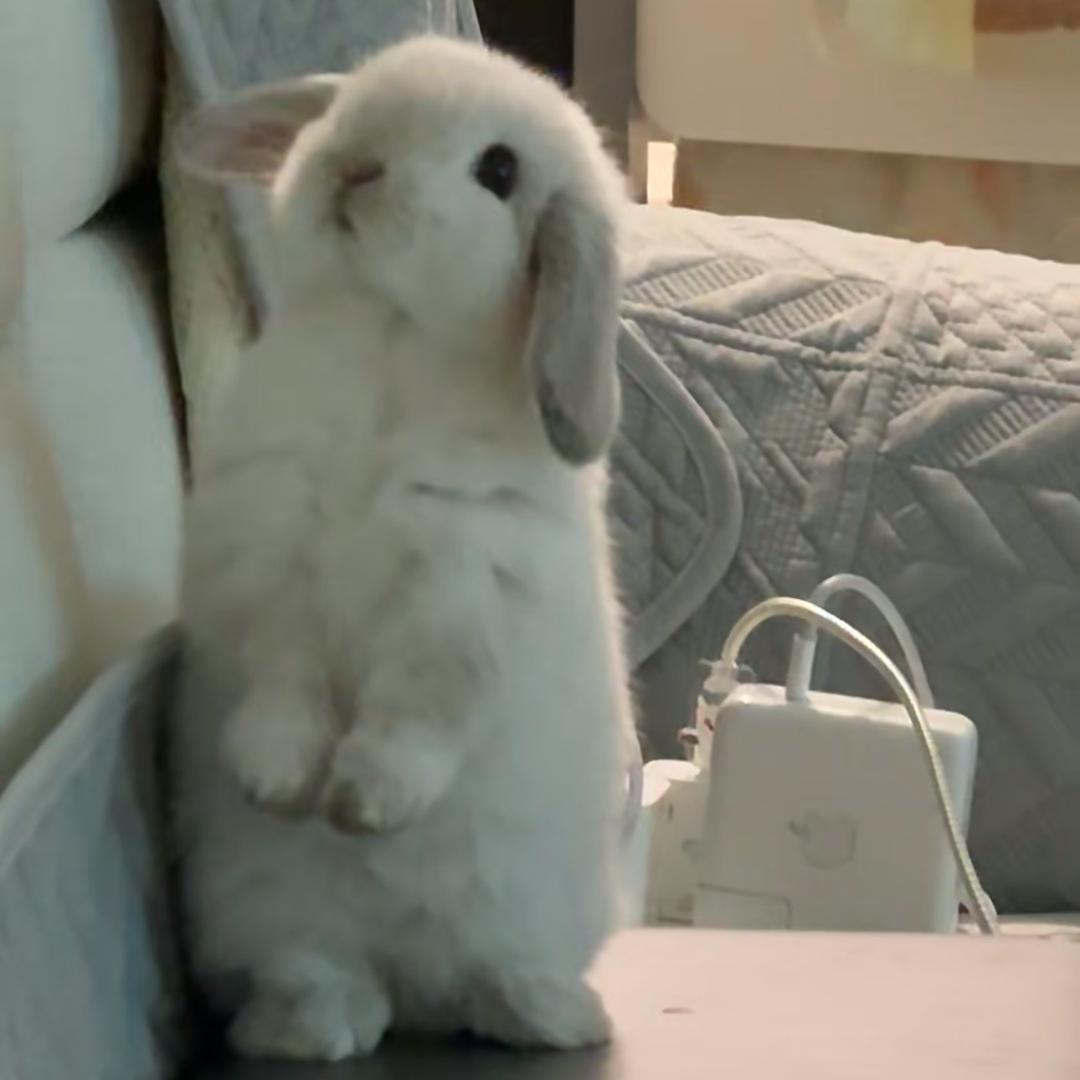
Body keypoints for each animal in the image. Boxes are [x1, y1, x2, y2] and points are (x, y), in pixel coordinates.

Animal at [169, 35, 636, 1063]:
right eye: (348, 105)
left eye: (498, 171)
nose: (355, 164)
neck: (388, 337)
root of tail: (416, 987)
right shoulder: (269, 565)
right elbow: (283, 685)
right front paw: (278, 785)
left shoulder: (462, 594)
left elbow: (421, 716)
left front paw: (364, 806)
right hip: (271, 914)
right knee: (320, 973)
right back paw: (301, 1032)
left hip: (541, 916)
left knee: (495, 982)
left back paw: (561, 1019)